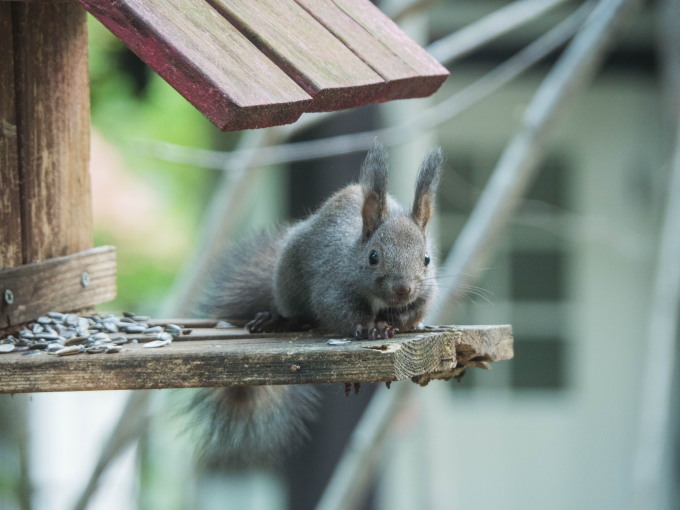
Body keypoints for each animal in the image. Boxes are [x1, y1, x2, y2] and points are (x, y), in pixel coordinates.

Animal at [186, 141, 444, 468]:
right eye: (373, 256)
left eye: (427, 259)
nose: (402, 289)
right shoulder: (331, 285)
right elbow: (341, 311)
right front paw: (370, 328)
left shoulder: (425, 293)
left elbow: (414, 309)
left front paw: (394, 322)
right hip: (288, 282)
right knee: (297, 313)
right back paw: (278, 320)